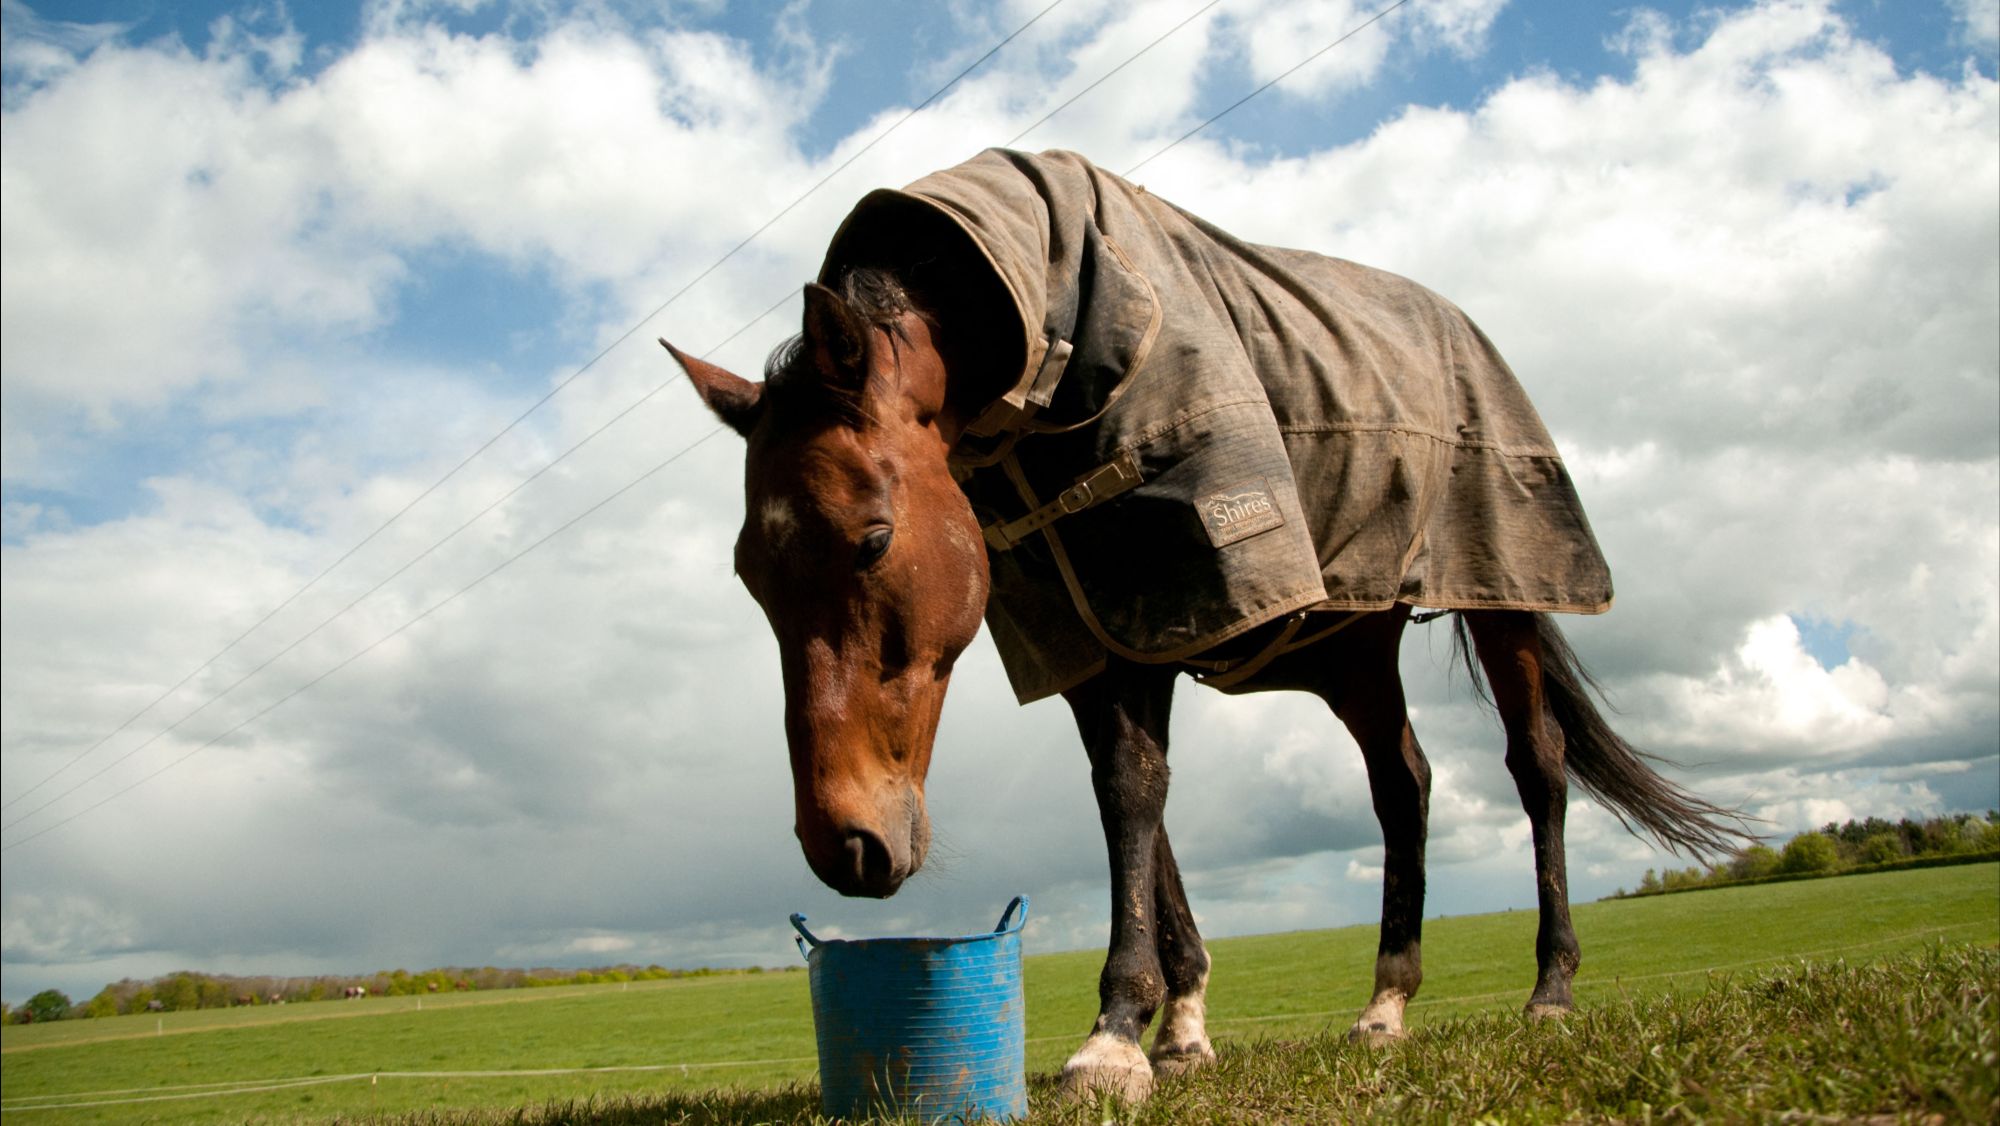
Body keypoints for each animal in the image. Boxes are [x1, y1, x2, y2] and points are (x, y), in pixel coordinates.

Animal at [664, 149, 1742, 1101]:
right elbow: (1137, 800)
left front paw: (1114, 1034)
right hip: (1354, 646)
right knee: (1404, 785)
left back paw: (1549, 989)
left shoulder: (1171, 588)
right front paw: (1177, 1028)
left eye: (874, 539)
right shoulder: (1096, 631)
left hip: (1504, 599)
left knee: (1537, 768)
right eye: (749, 575)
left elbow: (1133, 794)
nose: (843, 845)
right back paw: (1385, 1005)